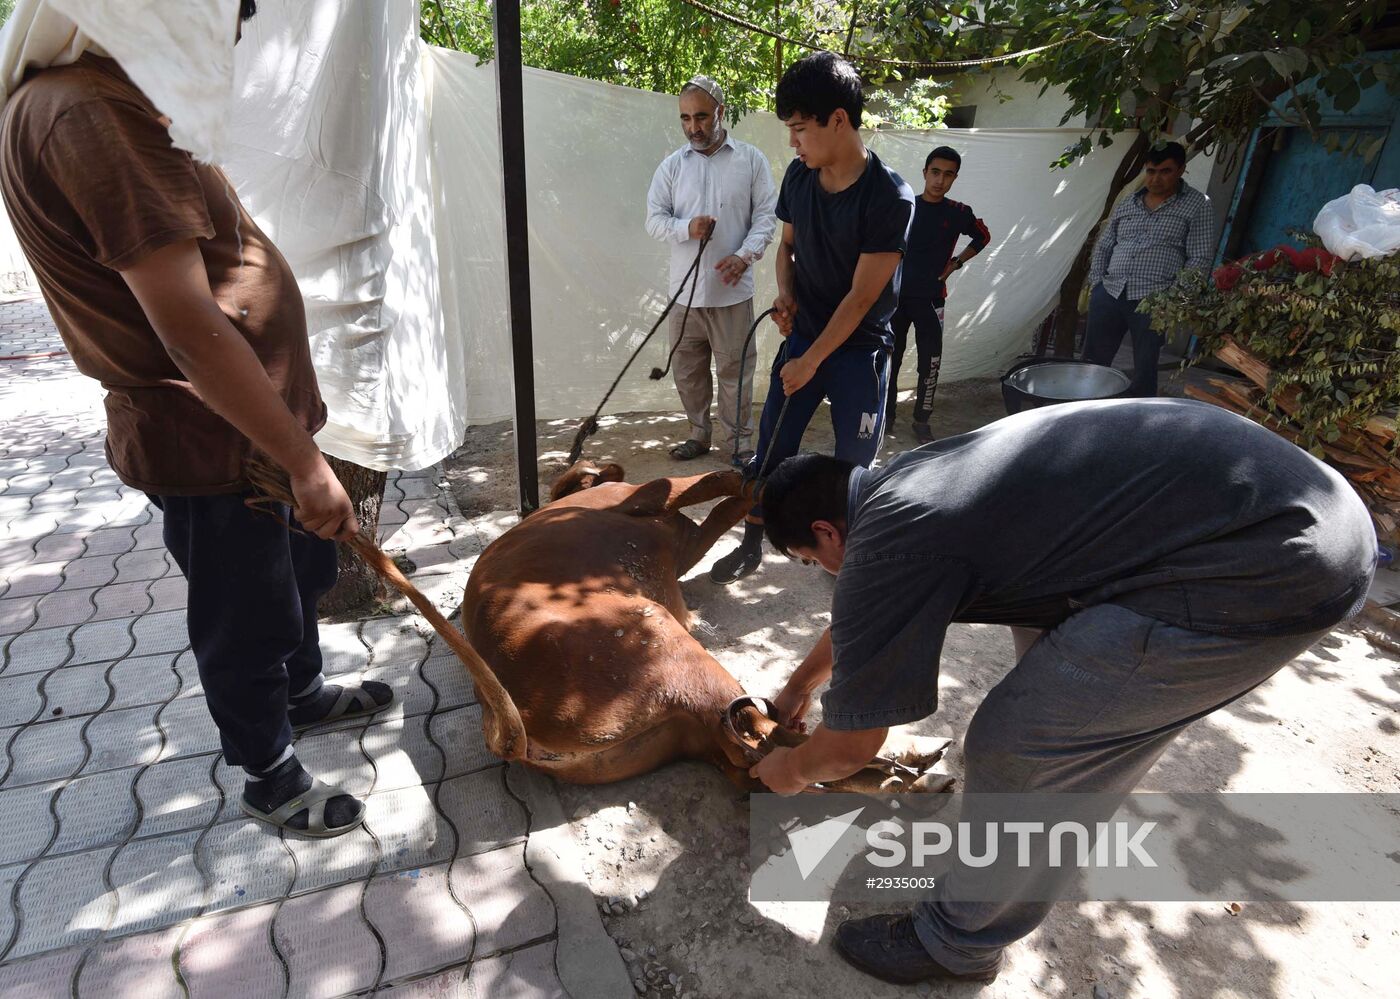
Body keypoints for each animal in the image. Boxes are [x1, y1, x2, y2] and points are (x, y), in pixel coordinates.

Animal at [462, 461, 952, 794]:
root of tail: (509, 731)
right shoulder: (646, 494)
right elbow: (716, 482)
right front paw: (759, 478)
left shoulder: (687, 540)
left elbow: (724, 511)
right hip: (670, 648)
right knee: (758, 736)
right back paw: (910, 764)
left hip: (678, 731)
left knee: (749, 765)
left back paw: (909, 773)